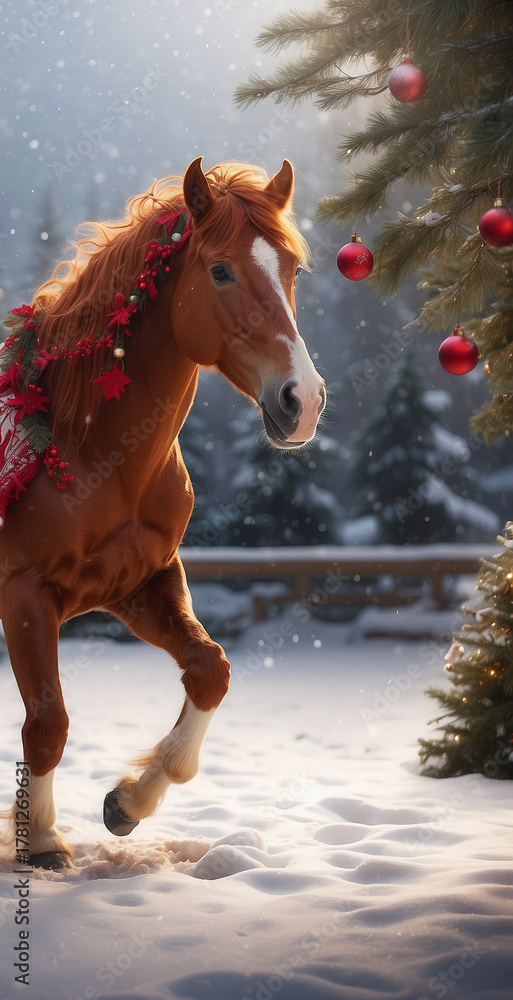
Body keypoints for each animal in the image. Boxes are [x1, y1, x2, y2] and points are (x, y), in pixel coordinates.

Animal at [0, 157, 326, 870]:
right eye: (221, 270)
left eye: (291, 268)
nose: (303, 400)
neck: (88, 445)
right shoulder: (25, 595)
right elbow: (48, 722)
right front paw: (42, 840)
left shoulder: (141, 584)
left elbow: (211, 672)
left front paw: (128, 802)